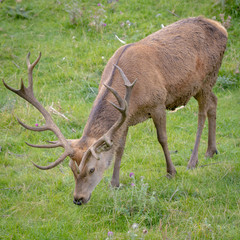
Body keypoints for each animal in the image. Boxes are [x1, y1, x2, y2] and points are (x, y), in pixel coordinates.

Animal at [4, 16, 229, 204]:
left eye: (91, 169)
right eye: (71, 169)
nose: (78, 199)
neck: (133, 91)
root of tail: (222, 27)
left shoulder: (158, 103)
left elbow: (162, 139)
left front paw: (171, 172)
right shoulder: (126, 116)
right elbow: (120, 148)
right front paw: (115, 183)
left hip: (207, 78)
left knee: (202, 113)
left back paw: (193, 160)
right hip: (205, 85)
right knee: (214, 102)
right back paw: (211, 150)